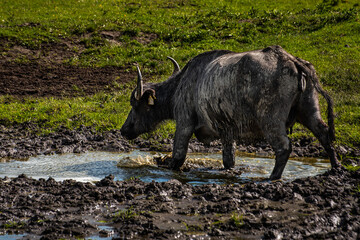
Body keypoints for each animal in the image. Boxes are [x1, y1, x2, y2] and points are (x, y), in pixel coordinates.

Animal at [121, 46, 340, 179]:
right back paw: (336, 167)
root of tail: (290, 59)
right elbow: (228, 160)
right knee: (324, 134)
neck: (182, 85)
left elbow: (178, 156)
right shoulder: (227, 131)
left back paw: (272, 177)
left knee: (284, 147)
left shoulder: (184, 123)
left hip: (271, 120)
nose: (124, 130)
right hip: (309, 110)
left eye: (135, 106)